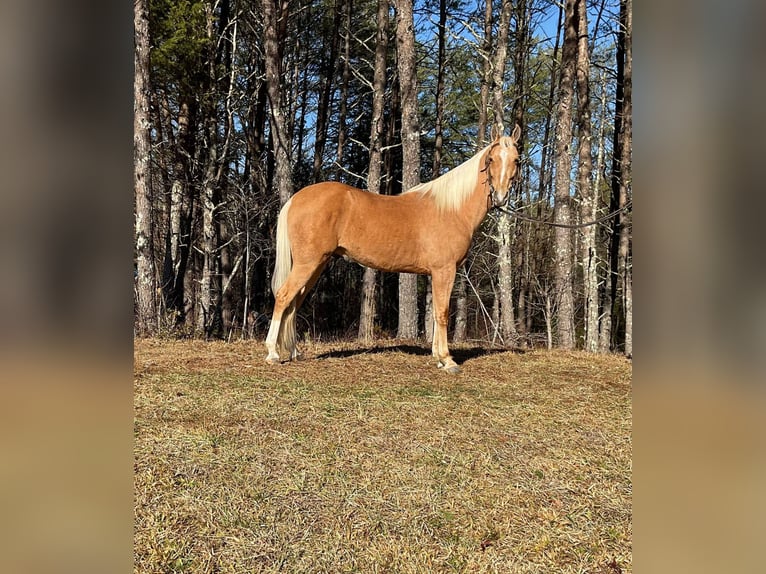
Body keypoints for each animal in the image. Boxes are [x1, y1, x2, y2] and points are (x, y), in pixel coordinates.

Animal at [264, 125, 520, 374]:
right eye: (491, 159)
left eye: (516, 160)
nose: (500, 197)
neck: (451, 209)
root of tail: (296, 199)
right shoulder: (444, 270)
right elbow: (443, 313)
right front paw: (447, 360)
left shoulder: (437, 274)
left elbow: (436, 312)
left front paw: (438, 357)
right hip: (308, 263)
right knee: (284, 296)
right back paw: (273, 353)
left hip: (316, 264)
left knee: (294, 302)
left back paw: (294, 352)